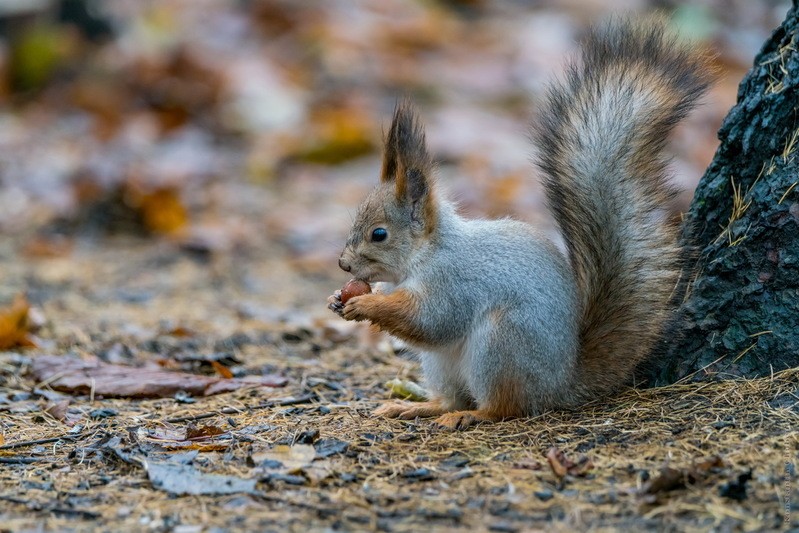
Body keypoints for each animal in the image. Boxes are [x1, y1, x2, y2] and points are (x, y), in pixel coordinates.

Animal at [326, 18, 712, 430]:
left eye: (379, 234)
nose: (343, 265)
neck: (427, 253)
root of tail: (560, 384)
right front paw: (338, 298)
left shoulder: (455, 282)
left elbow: (431, 320)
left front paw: (366, 305)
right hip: (444, 364)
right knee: (450, 396)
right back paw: (418, 406)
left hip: (503, 343)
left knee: (506, 407)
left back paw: (470, 414)